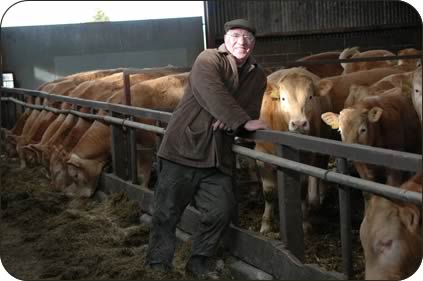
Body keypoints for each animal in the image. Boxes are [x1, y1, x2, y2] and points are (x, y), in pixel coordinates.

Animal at [255, 66, 334, 233]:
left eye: (310, 97)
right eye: (283, 98)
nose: (299, 124)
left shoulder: (306, 155)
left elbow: (302, 190)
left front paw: (304, 222)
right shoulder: (261, 153)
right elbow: (269, 191)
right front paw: (266, 224)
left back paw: (316, 200)